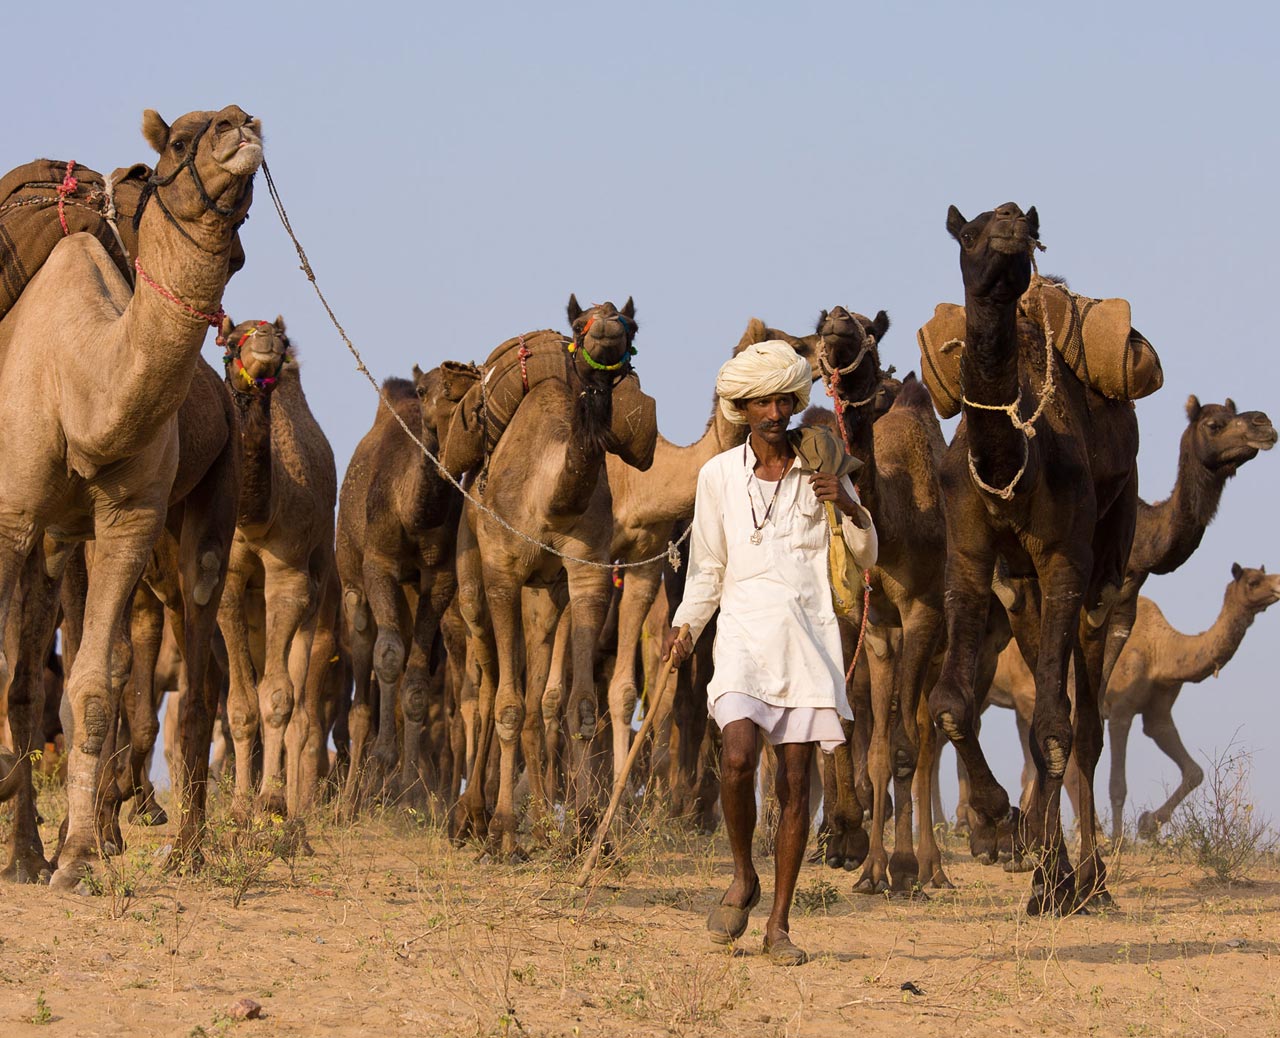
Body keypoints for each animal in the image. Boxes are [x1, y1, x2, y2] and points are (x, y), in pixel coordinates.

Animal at [0, 106, 261, 888]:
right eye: (180, 139)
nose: (242, 124)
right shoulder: (14, 516)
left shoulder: (128, 519)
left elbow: (91, 684)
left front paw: (82, 855)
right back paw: (26, 848)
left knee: (192, 671)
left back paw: (179, 849)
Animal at [336, 363, 467, 812]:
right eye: (425, 389)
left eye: (473, 386)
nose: (448, 422)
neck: (409, 507)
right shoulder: (379, 564)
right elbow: (389, 656)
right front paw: (382, 761)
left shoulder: (441, 579)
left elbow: (416, 683)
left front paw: (409, 787)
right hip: (350, 572)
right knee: (362, 655)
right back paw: (351, 796)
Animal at [451, 297, 657, 858]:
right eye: (579, 325)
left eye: (631, 326)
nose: (607, 328)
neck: (550, 497)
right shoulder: (501, 571)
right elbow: (505, 705)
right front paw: (502, 831)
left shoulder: (586, 574)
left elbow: (580, 707)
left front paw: (586, 830)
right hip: (472, 573)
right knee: (486, 687)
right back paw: (472, 816)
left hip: (546, 595)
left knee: (537, 692)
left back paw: (542, 822)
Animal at [929, 203, 1139, 915]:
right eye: (967, 234)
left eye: (1027, 223)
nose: (1010, 227)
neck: (1011, 465)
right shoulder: (969, 558)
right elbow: (950, 703)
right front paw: (1000, 822)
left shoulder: (1065, 561)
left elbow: (1055, 725)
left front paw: (1047, 874)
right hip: (1023, 599)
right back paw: (1062, 870)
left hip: (1104, 570)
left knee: (1087, 725)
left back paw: (1091, 880)